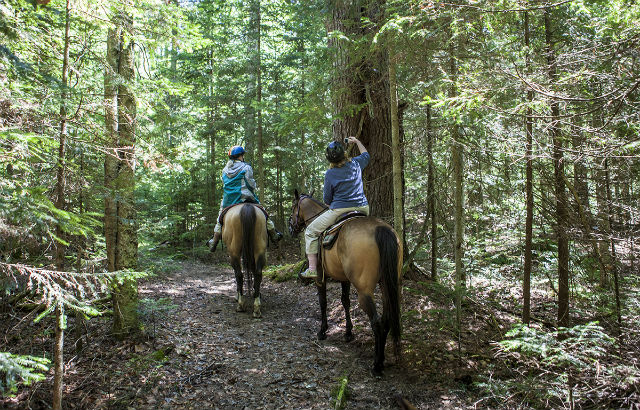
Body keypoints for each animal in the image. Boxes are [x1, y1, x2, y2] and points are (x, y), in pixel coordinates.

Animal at [288, 191, 402, 376]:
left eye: (293, 208)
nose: (290, 228)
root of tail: (381, 228)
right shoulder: (344, 278)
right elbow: (345, 301)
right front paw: (348, 333)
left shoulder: (320, 277)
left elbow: (323, 302)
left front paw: (322, 330)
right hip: (388, 285)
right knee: (386, 320)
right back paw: (382, 360)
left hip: (364, 291)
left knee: (377, 323)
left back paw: (376, 365)